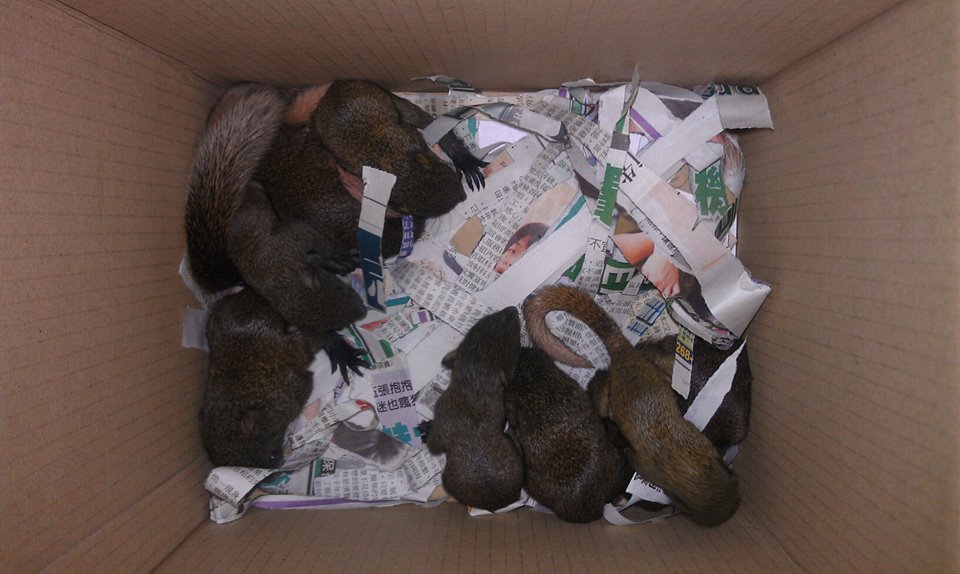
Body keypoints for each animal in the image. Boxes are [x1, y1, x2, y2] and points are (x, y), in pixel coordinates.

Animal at [427, 307, 525, 513]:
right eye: (479, 326)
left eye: (515, 345)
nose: (512, 309)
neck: (476, 380)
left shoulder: (441, 412)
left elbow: (433, 444)